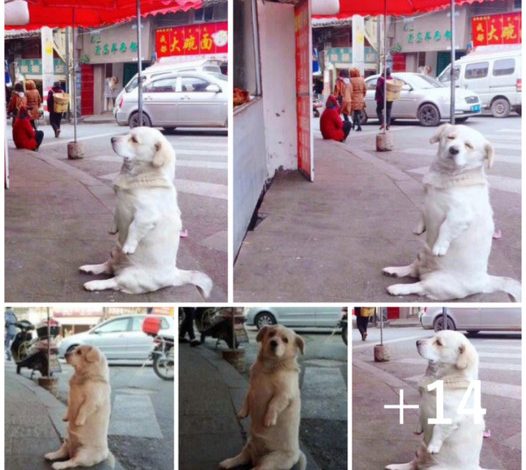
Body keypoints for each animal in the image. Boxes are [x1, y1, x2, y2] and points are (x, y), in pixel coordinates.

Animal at [78, 127, 212, 298]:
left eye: (134, 140)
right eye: (128, 133)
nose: (112, 139)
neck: (137, 176)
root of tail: (174, 275)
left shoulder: (146, 216)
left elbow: (134, 229)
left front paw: (129, 246)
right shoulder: (118, 204)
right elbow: (115, 214)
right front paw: (113, 228)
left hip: (130, 275)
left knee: (113, 281)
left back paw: (93, 284)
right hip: (114, 252)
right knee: (107, 266)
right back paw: (90, 268)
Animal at [220, 324, 310, 470]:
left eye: (285, 340)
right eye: (271, 334)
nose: (273, 342)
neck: (270, 367)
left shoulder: (284, 394)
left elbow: (273, 403)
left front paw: (269, 419)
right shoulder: (252, 388)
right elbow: (246, 399)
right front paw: (242, 413)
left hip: (270, 461)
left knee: (256, 467)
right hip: (249, 445)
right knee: (241, 458)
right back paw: (227, 463)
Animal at [388, 330, 486, 470]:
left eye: (438, 343)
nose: (417, 342)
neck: (442, 379)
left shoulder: (449, 416)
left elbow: (438, 429)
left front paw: (434, 446)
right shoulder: (422, 403)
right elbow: (420, 415)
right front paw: (418, 428)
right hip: (420, 449)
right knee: (413, 464)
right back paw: (395, 466)